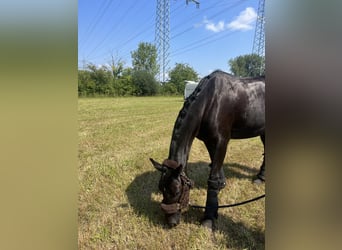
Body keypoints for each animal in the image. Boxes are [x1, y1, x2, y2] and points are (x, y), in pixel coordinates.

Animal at [151, 70, 266, 229]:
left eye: (177, 191)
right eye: (161, 188)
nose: (171, 222)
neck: (210, 102)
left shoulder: (221, 141)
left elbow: (212, 176)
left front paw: (209, 216)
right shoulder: (209, 141)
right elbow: (215, 166)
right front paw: (221, 185)